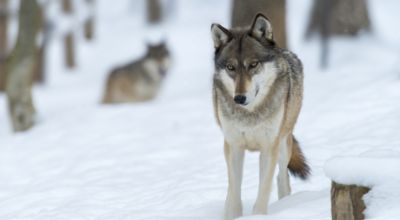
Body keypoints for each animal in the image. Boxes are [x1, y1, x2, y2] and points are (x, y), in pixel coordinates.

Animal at [211, 14, 310, 220]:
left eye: (253, 65)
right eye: (231, 67)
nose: (239, 98)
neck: (250, 115)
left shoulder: (269, 147)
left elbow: (263, 191)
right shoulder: (233, 146)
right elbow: (234, 193)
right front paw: (232, 214)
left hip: (283, 144)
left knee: (282, 178)